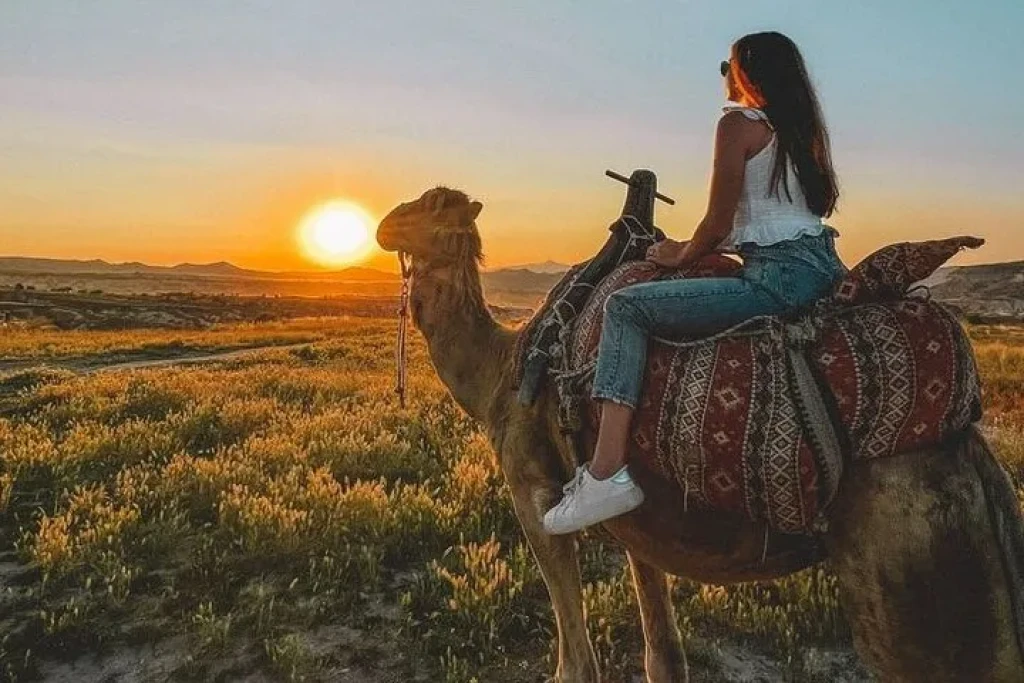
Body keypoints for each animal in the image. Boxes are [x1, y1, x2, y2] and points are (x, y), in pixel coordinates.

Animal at [376, 186, 1024, 682]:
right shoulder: (641, 528)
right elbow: (664, 657)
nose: (383, 224)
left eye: (427, 204)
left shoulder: (533, 493)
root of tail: (970, 450)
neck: (505, 371)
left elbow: (576, 666)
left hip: (911, 565)